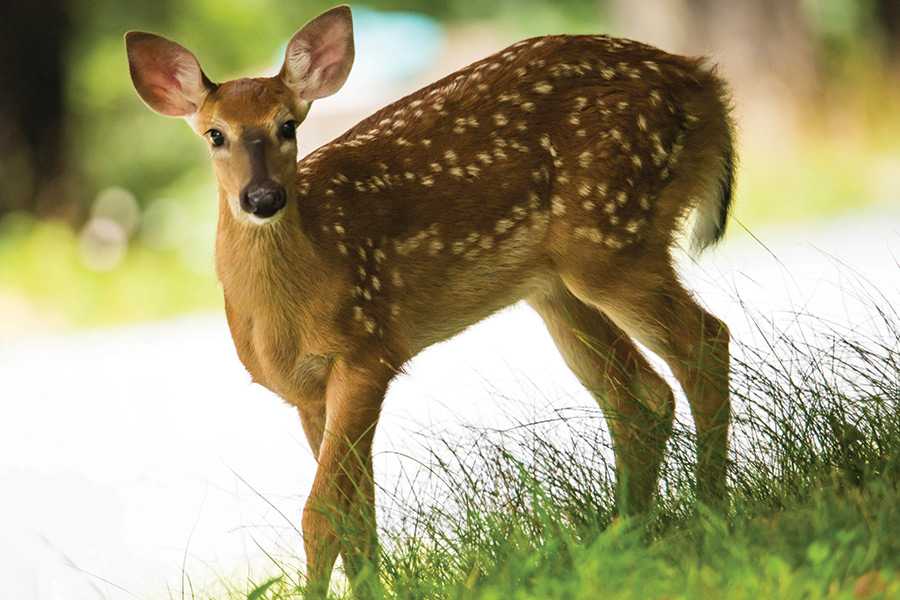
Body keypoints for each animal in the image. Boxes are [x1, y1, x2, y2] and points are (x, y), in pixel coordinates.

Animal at [126, 5, 735, 598]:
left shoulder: (366, 352)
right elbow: (358, 517)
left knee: (705, 342)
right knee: (641, 398)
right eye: (214, 134)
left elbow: (323, 514)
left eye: (287, 125)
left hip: (610, 234)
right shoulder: (307, 394)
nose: (263, 197)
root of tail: (702, 80)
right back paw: (624, 540)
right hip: (557, 285)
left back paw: (709, 517)